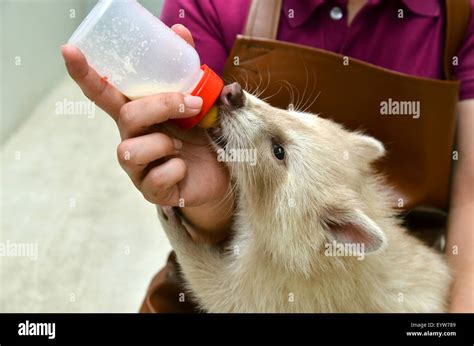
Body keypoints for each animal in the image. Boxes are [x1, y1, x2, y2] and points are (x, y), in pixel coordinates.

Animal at [158, 83, 448, 310]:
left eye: (278, 152)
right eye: (294, 113)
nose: (232, 93)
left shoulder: (276, 289)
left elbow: (214, 288)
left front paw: (180, 237)